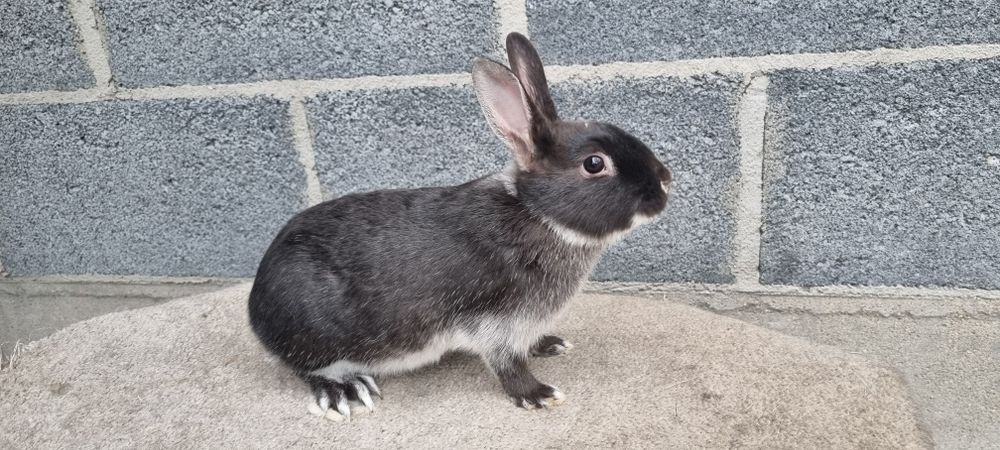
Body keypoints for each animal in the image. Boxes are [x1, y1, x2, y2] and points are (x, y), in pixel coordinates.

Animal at [248, 32, 672, 421]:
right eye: (594, 164)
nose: (665, 181)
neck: (537, 213)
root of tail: (257, 312)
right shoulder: (494, 322)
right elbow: (505, 363)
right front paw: (536, 394)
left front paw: (548, 344)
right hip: (316, 333)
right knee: (307, 367)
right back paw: (344, 390)